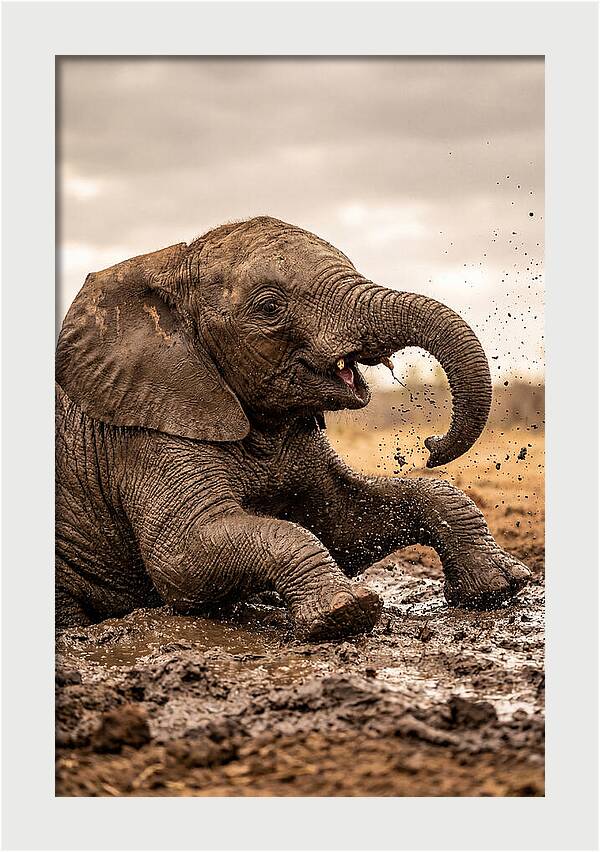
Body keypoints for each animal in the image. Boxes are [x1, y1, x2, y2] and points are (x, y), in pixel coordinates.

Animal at [55, 216, 531, 639]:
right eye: (270, 307)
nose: (431, 444)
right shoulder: (146, 434)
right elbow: (182, 559)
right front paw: (345, 612)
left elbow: (345, 523)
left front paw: (501, 586)